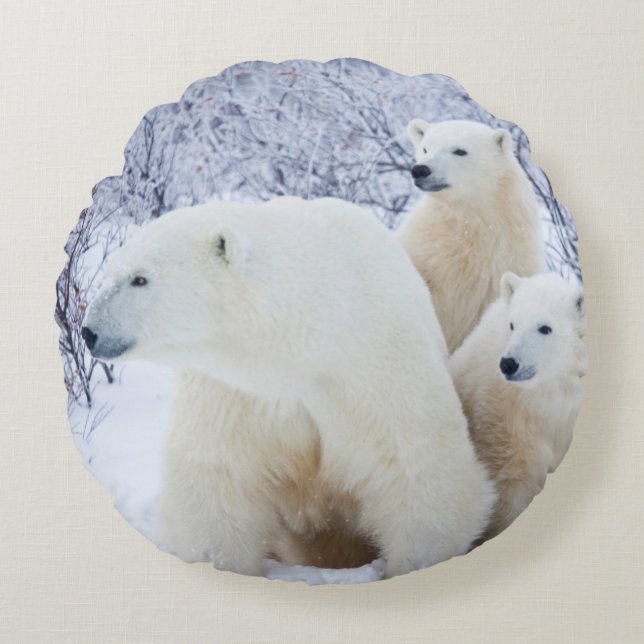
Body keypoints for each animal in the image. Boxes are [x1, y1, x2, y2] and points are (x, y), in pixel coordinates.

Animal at [82, 195, 497, 579]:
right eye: (111, 270)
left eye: (140, 278)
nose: (89, 332)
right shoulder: (233, 392)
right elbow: (217, 477)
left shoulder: (372, 366)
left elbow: (415, 470)